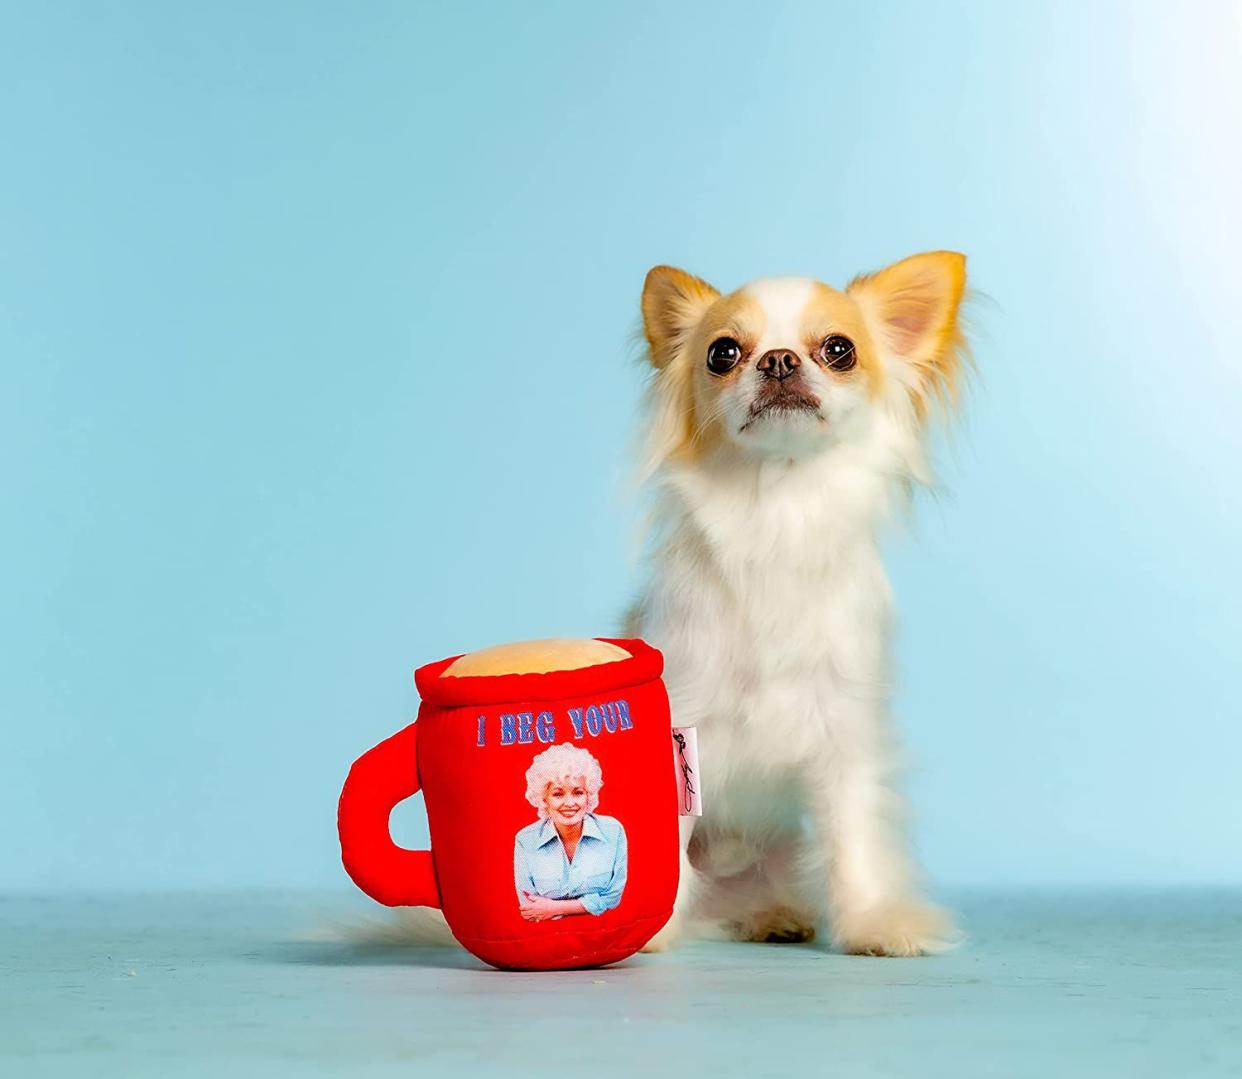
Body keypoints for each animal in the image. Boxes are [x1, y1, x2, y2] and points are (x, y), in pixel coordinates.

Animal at [621, 250, 968, 953]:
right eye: (722, 353)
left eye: (839, 350)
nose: (778, 359)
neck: (777, 510)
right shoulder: (679, 725)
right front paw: (648, 928)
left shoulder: (844, 727)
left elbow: (852, 831)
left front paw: (872, 922)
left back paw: (774, 914)